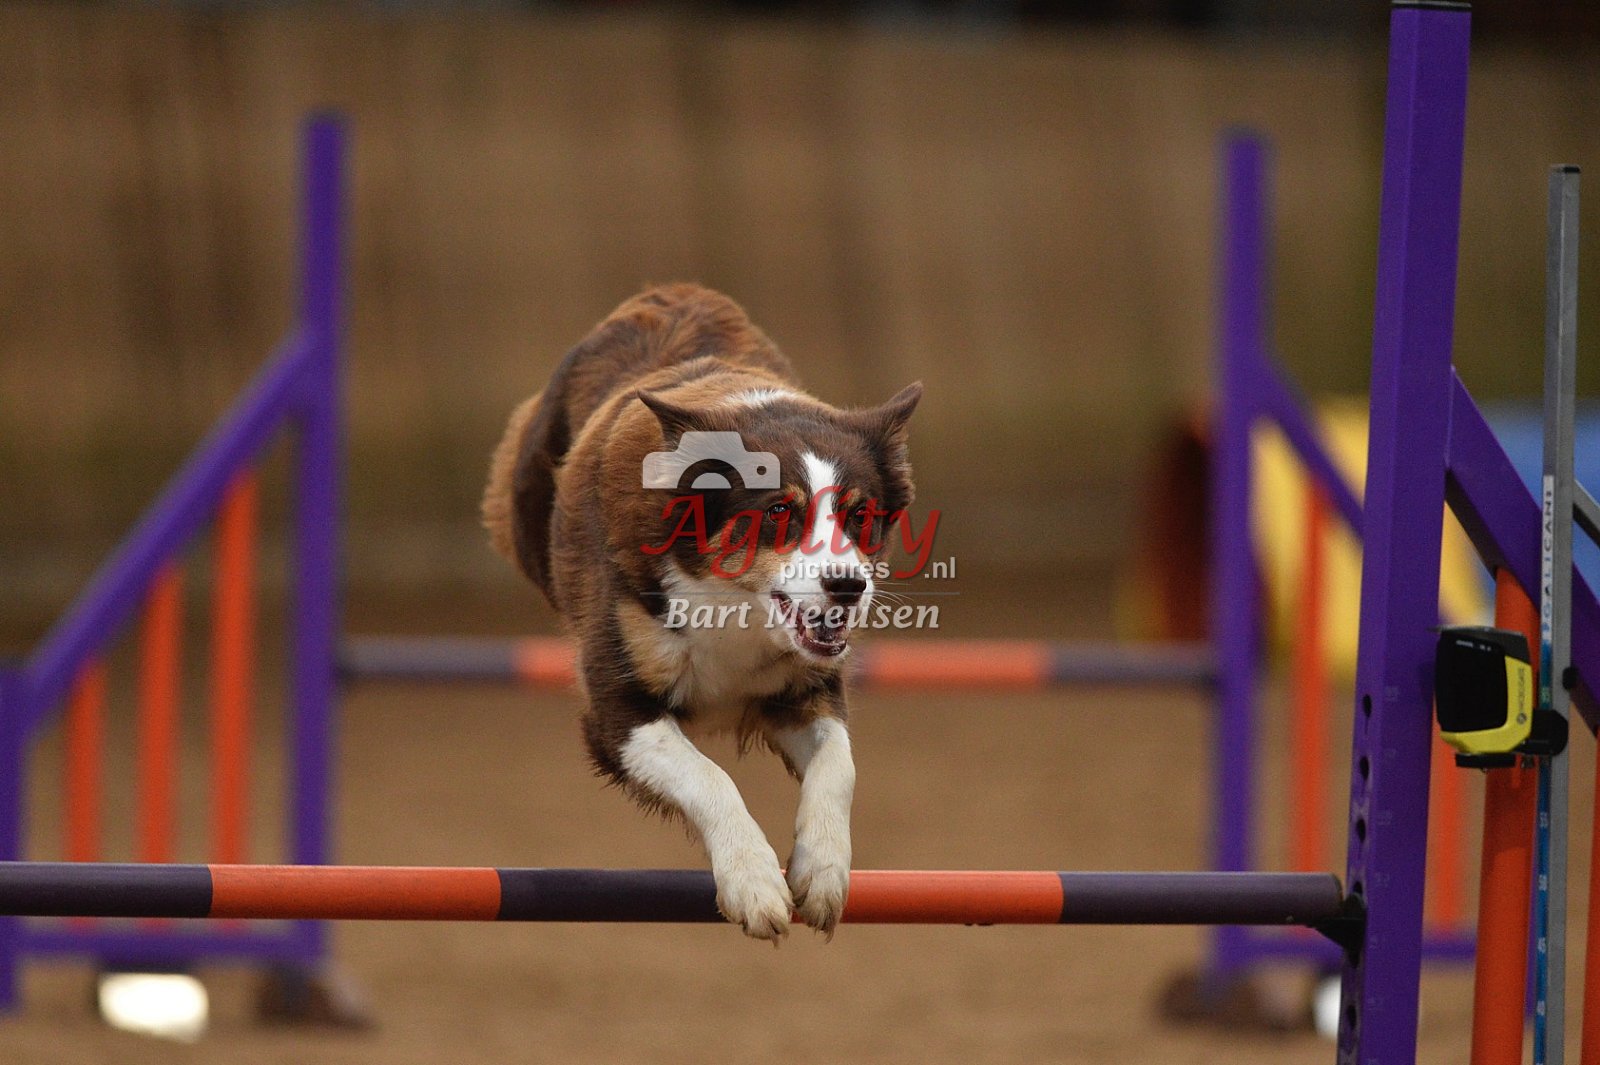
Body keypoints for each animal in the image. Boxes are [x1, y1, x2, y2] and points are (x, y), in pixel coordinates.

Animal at [482, 284, 920, 941]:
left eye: (860, 514)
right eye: (777, 512)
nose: (847, 586)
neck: (733, 604)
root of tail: (670, 292)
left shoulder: (806, 689)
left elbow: (840, 766)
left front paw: (821, 872)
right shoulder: (617, 711)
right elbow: (709, 777)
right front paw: (754, 883)